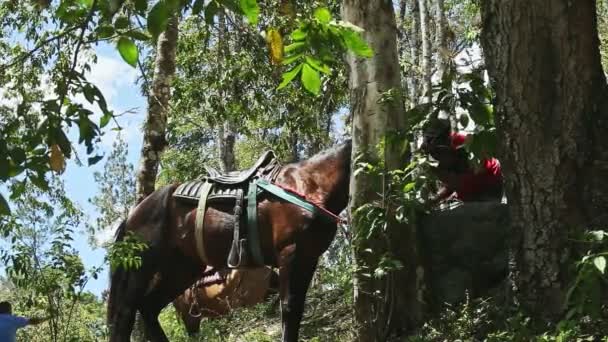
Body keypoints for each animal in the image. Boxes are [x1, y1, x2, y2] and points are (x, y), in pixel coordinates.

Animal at [107, 140, 350, 342]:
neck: (310, 185)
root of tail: (132, 215)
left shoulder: (309, 256)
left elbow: (296, 307)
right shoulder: (290, 252)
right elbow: (289, 308)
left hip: (182, 269)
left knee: (149, 308)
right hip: (142, 265)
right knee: (126, 313)